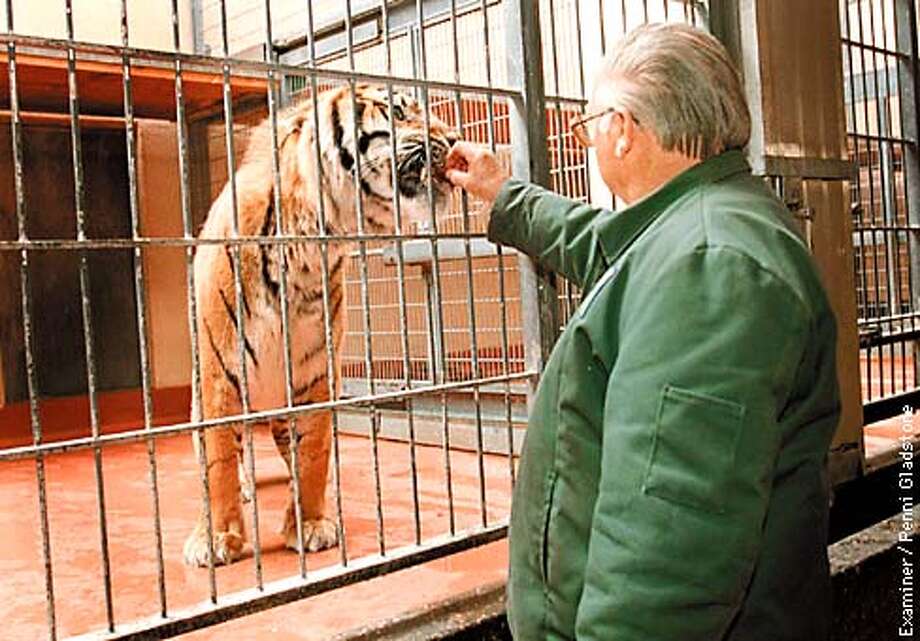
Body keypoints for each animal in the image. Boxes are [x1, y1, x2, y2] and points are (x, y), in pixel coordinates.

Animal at [184, 84, 460, 564]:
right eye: (399, 112)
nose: (457, 137)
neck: (309, 242)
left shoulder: (314, 374)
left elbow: (312, 455)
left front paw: (310, 525)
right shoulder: (220, 377)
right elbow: (218, 459)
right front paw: (217, 539)